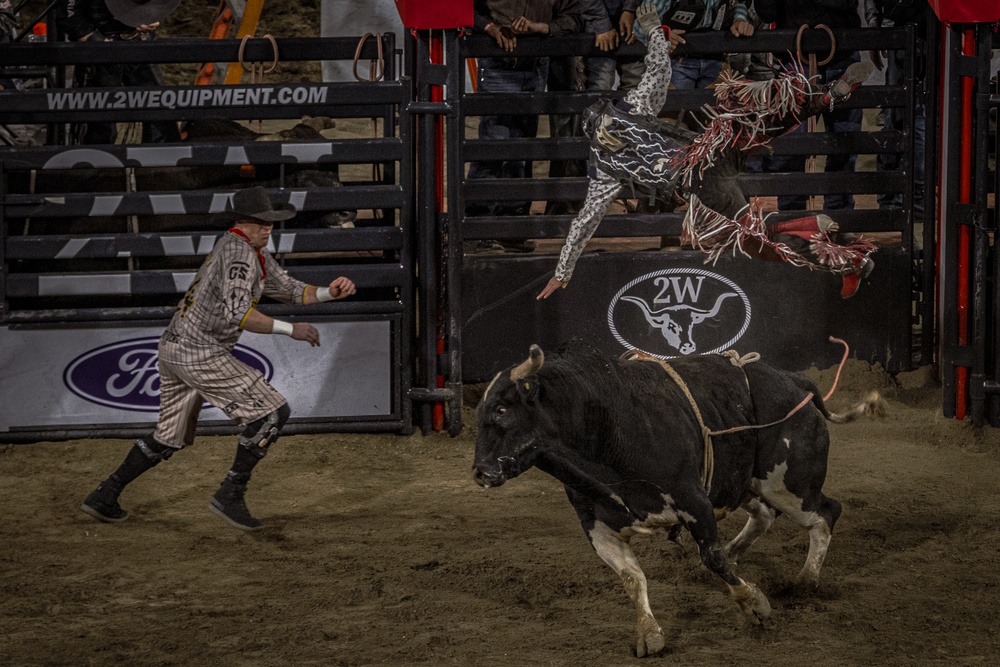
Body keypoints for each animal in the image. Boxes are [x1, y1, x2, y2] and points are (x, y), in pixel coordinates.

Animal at [470, 342, 884, 656]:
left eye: (502, 409)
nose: (481, 471)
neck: (607, 426)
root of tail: (796, 382)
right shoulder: (595, 523)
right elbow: (631, 577)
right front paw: (649, 633)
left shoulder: (693, 500)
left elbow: (712, 557)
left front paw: (755, 605)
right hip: (743, 484)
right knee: (766, 515)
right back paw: (743, 553)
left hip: (787, 484)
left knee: (825, 513)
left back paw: (805, 581)